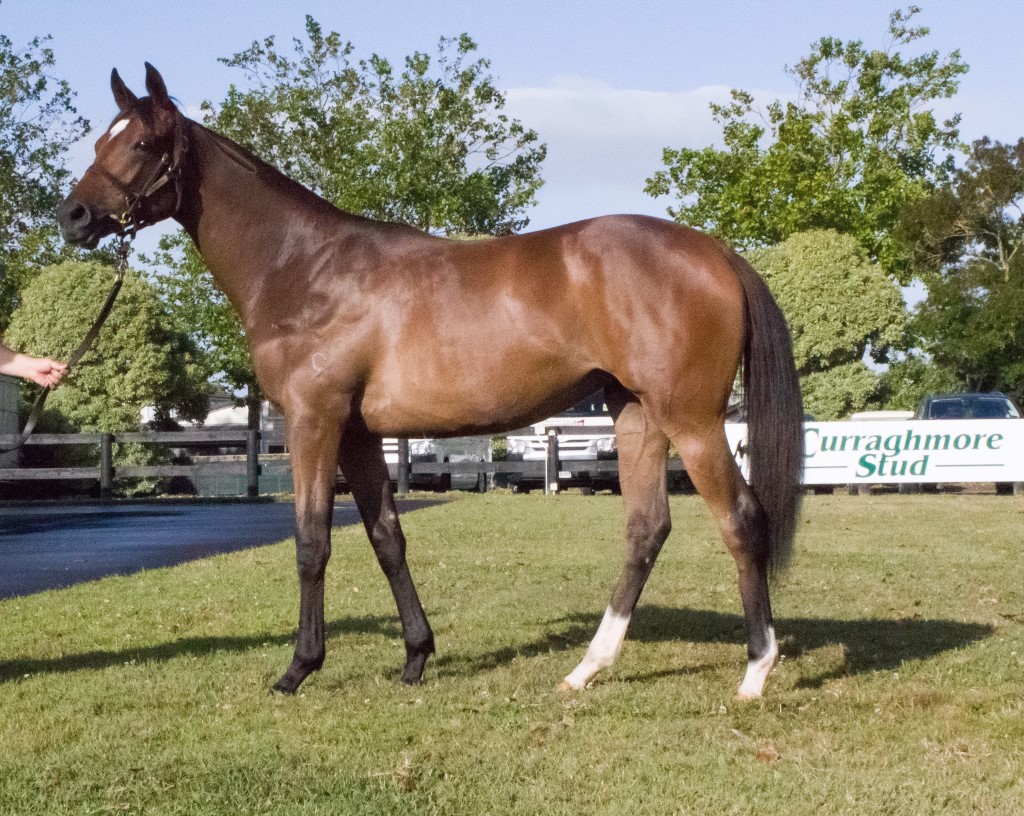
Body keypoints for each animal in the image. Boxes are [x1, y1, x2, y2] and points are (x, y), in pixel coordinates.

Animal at [57, 64, 804, 700]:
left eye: (143, 142)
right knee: (647, 529)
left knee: (740, 520)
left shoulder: (313, 420)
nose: (74, 217)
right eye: (100, 139)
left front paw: (299, 668)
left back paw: (755, 671)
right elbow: (387, 537)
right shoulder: (358, 434)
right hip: (637, 414)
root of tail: (716, 252)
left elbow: (311, 542)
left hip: (692, 420)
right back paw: (586, 669)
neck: (305, 268)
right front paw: (415, 657)